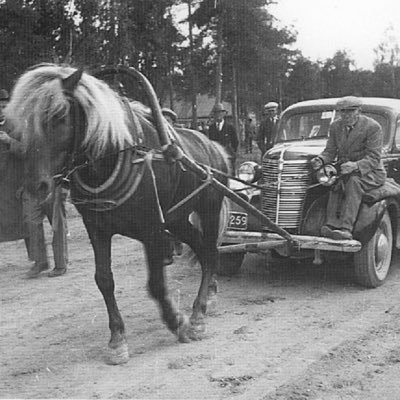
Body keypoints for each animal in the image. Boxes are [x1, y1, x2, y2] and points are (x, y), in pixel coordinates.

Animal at [5, 63, 231, 366]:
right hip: (177, 219)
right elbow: (104, 280)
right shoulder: (97, 228)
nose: (35, 186)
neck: (115, 156)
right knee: (202, 250)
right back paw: (208, 298)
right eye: (18, 125)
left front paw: (177, 322)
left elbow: (156, 284)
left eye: (59, 115)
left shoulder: (152, 229)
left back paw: (197, 314)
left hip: (208, 208)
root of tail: (214, 148)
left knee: (210, 251)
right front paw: (117, 340)